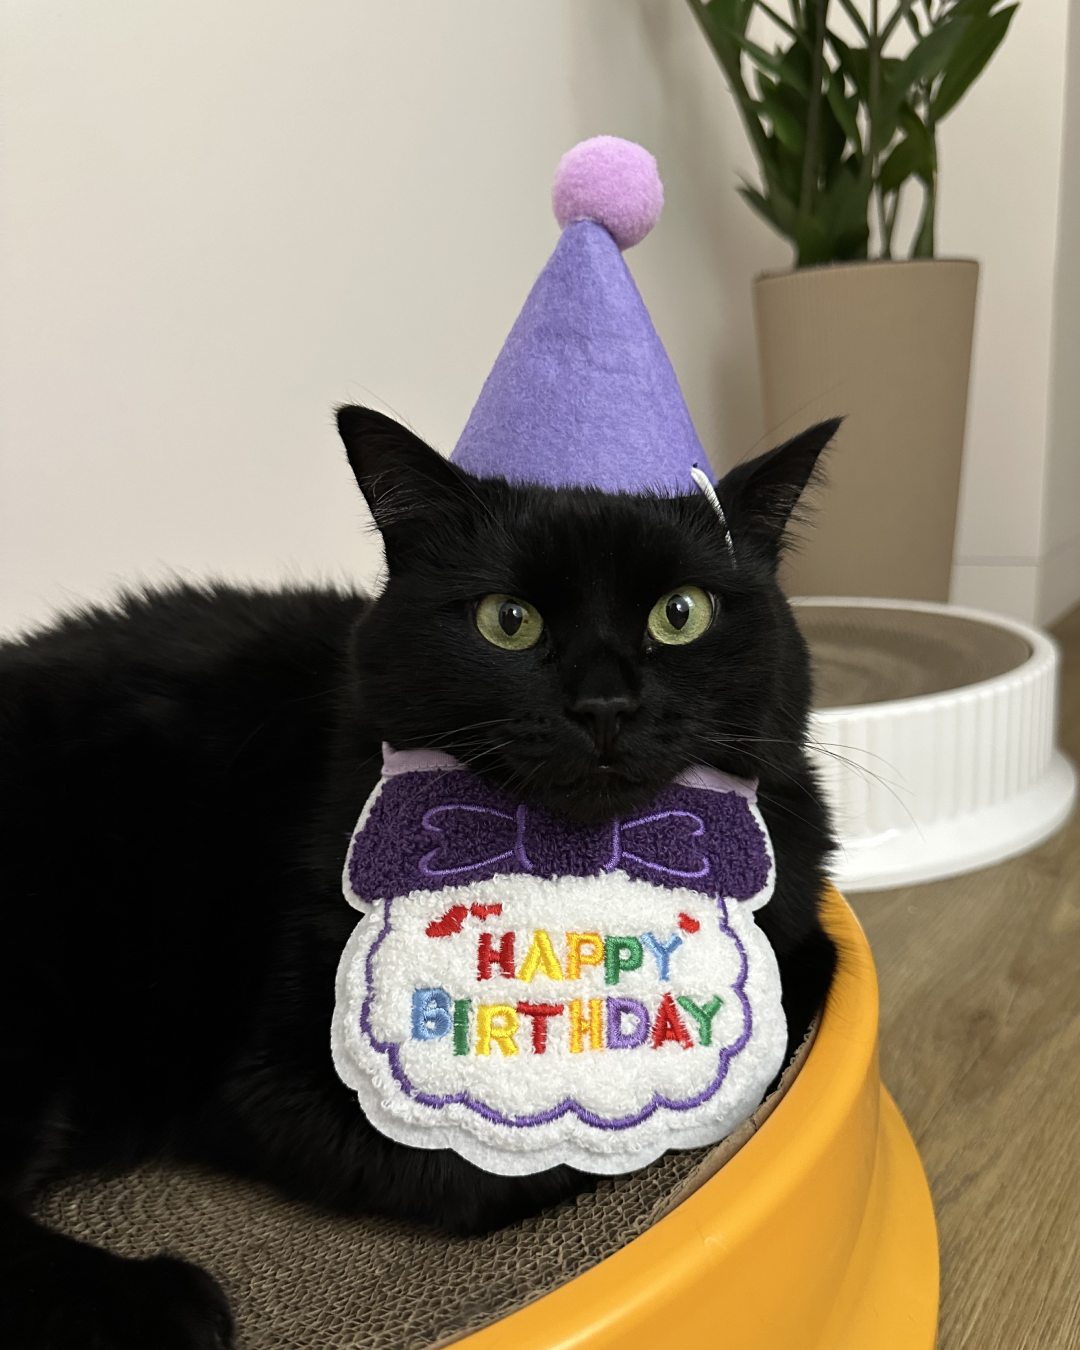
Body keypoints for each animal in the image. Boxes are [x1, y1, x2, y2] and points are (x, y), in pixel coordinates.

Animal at [0, 405, 838, 1350]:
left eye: (681, 613)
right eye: (507, 620)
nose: (604, 706)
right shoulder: (274, 1080)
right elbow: (512, 1165)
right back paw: (158, 1302)